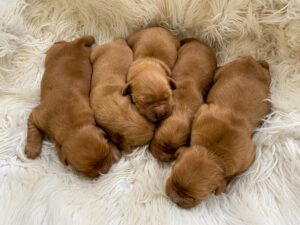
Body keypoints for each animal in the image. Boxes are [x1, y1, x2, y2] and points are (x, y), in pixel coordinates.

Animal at [24, 36, 120, 178]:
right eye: (89, 169)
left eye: (105, 154)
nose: (105, 171)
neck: (73, 126)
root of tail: (77, 43)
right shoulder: (36, 116)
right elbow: (33, 131)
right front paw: (32, 149)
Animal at [166, 55, 272, 207]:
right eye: (173, 177)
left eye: (192, 198)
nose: (174, 199)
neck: (212, 152)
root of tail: (251, 60)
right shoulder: (203, 110)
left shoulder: (248, 158)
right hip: (223, 71)